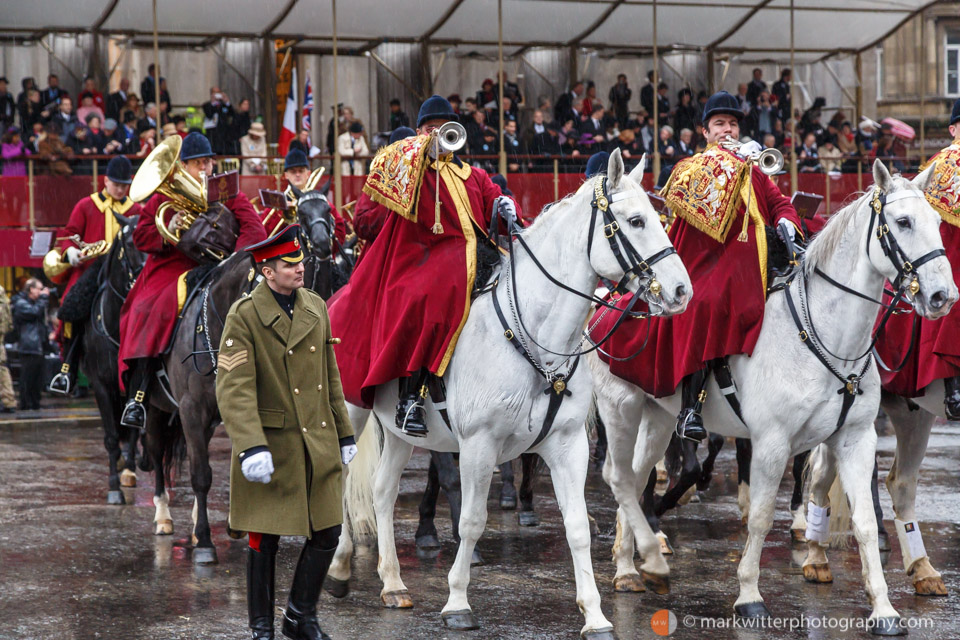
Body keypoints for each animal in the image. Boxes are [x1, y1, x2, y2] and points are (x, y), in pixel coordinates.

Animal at [330, 149, 688, 636]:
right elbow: (471, 521)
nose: (681, 290)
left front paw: (595, 614)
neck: (536, 338)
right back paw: (339, 568)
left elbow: (577, 526)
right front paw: (457, 602)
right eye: (635, 221)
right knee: (343, 480)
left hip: (401, 434)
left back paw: (392, 583)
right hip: (350, 410)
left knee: (383, 491)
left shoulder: (568, 445)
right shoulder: (478, 446)